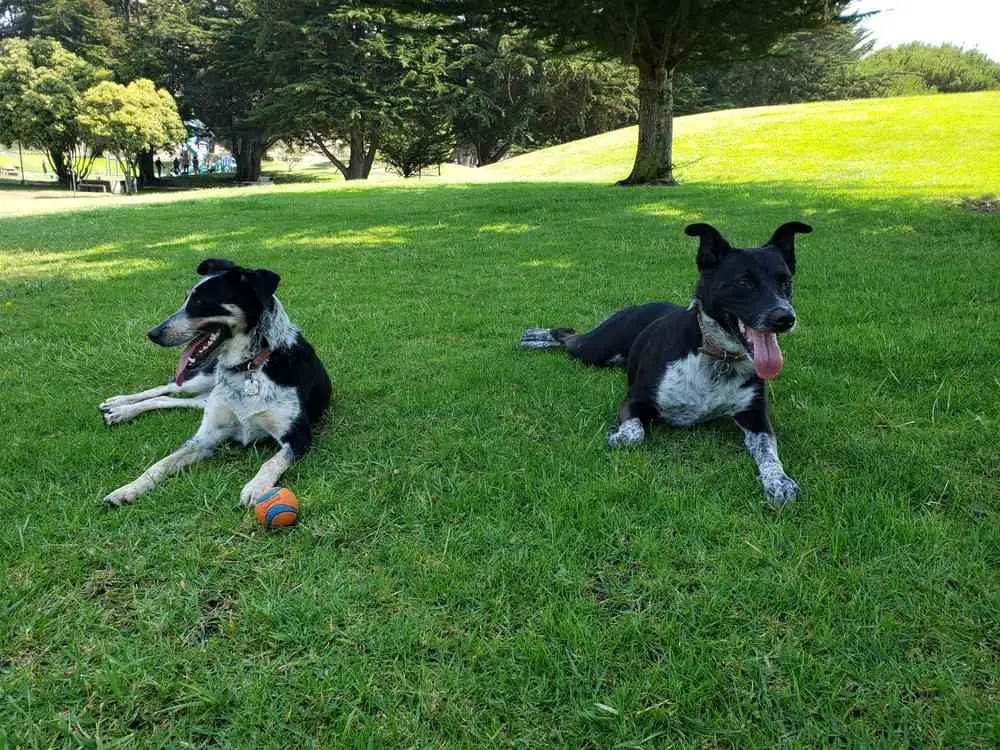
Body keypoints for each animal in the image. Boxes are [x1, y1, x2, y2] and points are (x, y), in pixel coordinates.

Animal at [104, 260, 332, 512]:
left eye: (200, 302)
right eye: (186, 298)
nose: (152, 334)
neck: (250, 367)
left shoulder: (297, 436)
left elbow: (272, 462)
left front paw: (256, 486)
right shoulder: (206, 437)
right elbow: (161, 463)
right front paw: (128, 489)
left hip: (203, 399)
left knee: (167, 398)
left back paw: (119, 411)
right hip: (201, 381)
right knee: (168, 387)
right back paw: (119, 405)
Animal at [520, 222, 808, 506]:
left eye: (786, 282)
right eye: (743, 282)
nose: (785, 317)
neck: (716, 359)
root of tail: (638, 305)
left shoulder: (755, 415)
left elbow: (768, 448)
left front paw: (778, 481)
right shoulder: (635, 400)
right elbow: (633, 435)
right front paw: (619, 435)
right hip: (596, 349)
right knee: (568, 335)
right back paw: (532, 337)